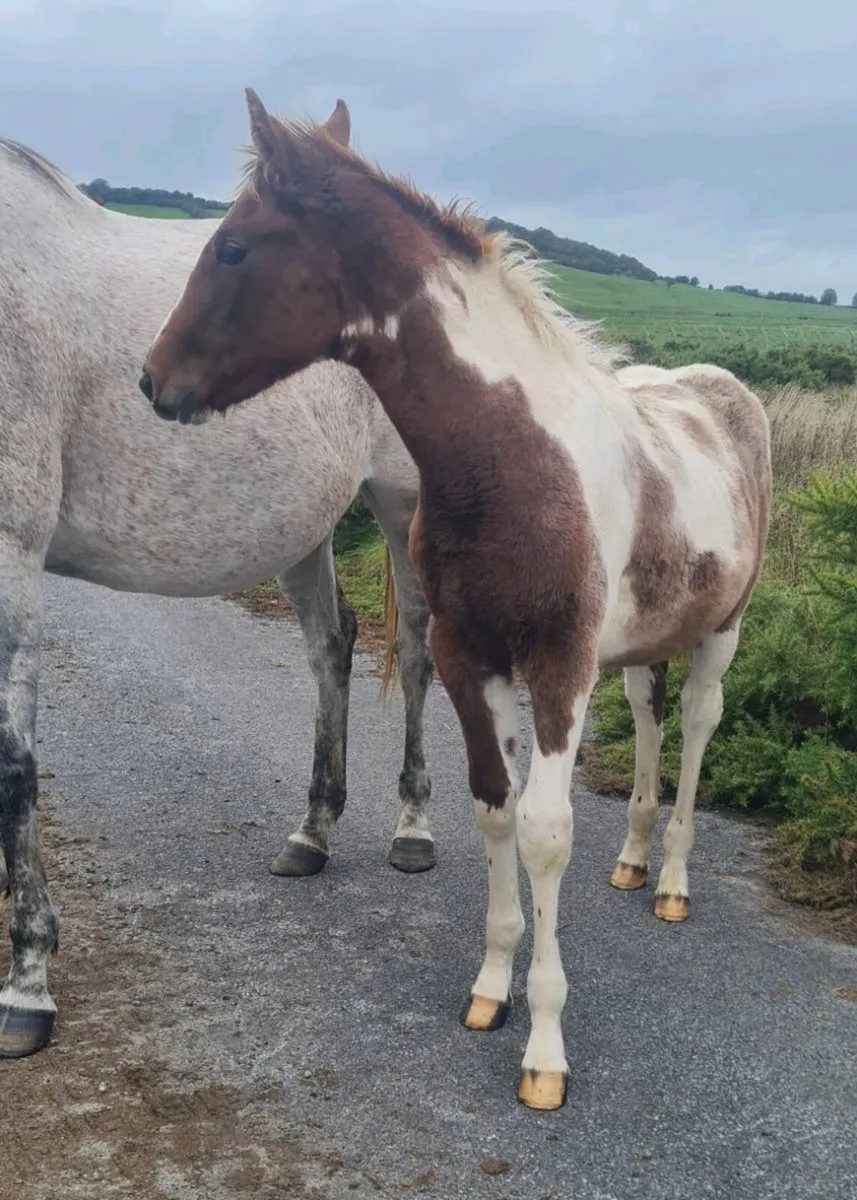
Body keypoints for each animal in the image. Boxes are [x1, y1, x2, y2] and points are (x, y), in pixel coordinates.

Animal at [0, 104, 436, 1062]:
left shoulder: (12, 554)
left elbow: (13, 767)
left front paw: (27, 984)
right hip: (302, 524)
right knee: (331, 647)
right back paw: (311, 832)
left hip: (402, 504)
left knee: (420, 655)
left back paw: (413, 830)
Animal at [141, 89, 772, 1111]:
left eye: (233, 247)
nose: (154, 379)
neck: (509, 456)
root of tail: (721, 390)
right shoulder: (469, 658)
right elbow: (493, 811)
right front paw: (490, 988)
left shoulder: (557, 668)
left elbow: (546, 832)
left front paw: (545, 1049)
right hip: (639, 644)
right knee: (647, 718)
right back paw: (633, 860)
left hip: (720, 629)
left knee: (696, 723)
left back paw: (672, 877)